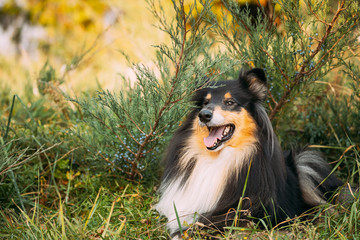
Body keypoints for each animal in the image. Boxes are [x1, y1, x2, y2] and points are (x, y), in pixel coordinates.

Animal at [154, 67, 344, 238]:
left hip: (307, 162)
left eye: (230, 102)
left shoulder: (247, 212)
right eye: (205, 103)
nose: (204, 115)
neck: (218, 158)